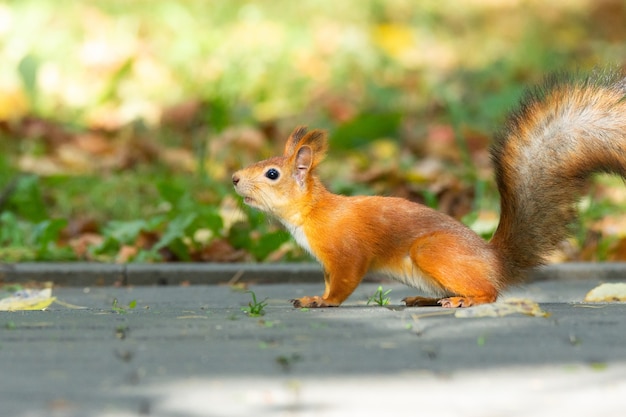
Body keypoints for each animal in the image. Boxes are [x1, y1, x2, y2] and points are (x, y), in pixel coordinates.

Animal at [232, 70, 624, 308]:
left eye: (271, 173)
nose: (234, 178)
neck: (313, 212)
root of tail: (495, 261)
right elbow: (331, 281)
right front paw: (316, 296)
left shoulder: (345, 252)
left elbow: (343, 282)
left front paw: (322, 302)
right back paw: (427, 300)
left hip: (431, 252)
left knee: (490, 293)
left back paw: (465, 299)